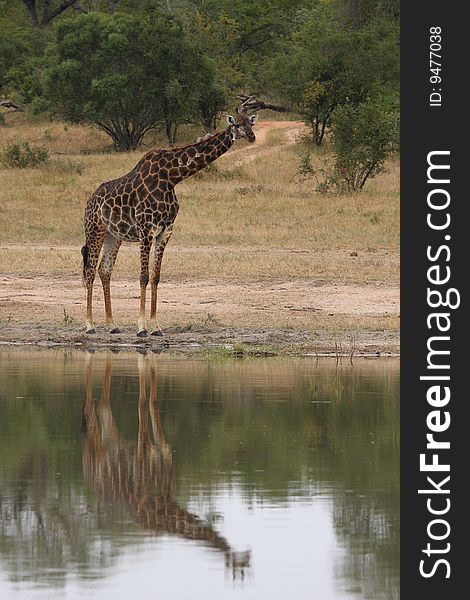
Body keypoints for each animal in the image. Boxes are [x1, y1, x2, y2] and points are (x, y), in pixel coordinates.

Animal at [82, 103, 258, 338]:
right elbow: (144, 276)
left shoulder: (166, 230)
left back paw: (112, 324)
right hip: (95, 230)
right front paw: (141, 328)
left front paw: (156, 327)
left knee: (104, 269)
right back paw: (90, 325)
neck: (172, 177)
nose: (251, 136)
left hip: (113, 236)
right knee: (90, 270)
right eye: (236, 124)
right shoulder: (146, 229)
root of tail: (89, 201)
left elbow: (156, 276)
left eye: (250, 123)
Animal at [83, 354, 253, 580]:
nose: (248, 553)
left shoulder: (163, 451)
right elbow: (142, 402)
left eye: (246, 567)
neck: (163, 504)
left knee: (104, 404)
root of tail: (88, 474)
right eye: (238, 568)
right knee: (89, 406)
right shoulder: (145, 451)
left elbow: (153, 403)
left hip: (111, 439)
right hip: (94, 443)